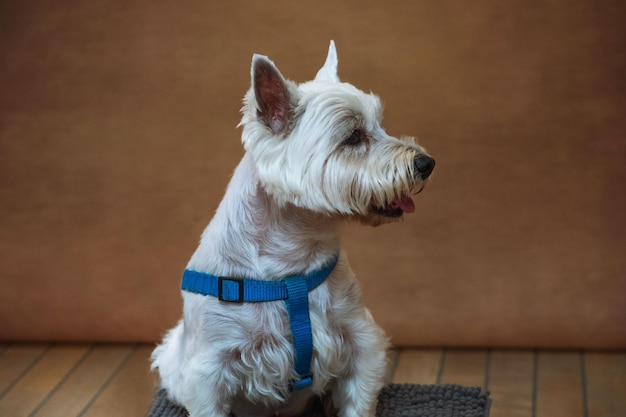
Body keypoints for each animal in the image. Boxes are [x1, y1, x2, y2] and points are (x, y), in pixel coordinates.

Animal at [151, 39, 434, 416]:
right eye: (353, 137)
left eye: (380, 126)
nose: (427, 163)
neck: (292, 264)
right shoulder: (207, 371)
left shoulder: (360, 339)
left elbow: (358, 399)